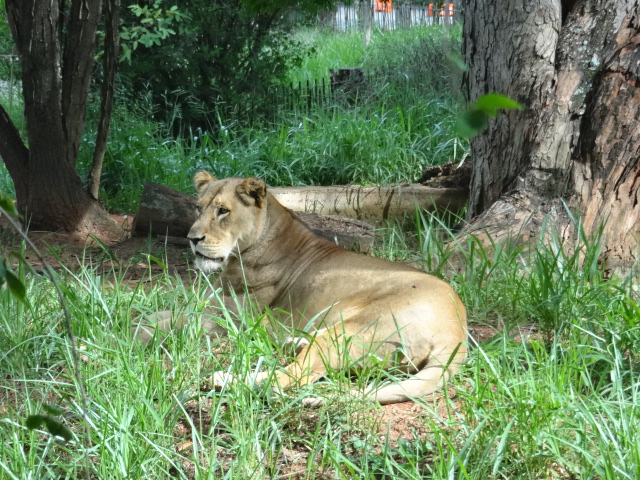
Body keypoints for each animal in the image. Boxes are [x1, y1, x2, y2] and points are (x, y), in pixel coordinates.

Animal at [133, 171, 467, 405]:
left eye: (223, 211)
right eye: (198, 208)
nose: (192, 238)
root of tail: (457, 330)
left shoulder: (235, 319)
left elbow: (168, 323)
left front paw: (128, 335)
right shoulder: (208, 304)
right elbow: (157, 314)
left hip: (350, 328)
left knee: (293, 376)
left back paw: (221, 379)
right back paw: (293, 343)